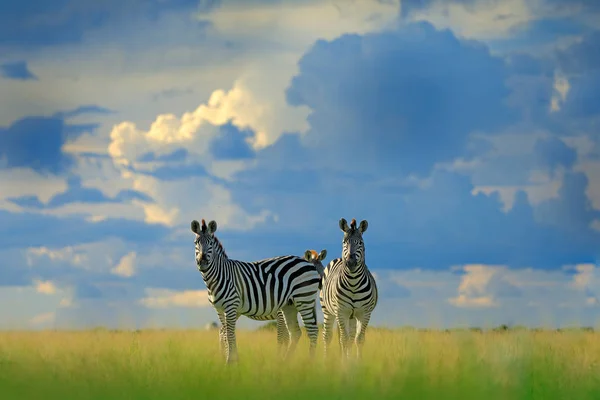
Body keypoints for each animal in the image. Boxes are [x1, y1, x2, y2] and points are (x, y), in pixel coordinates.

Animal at [192, 219, 324, 362]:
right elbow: (228, 333)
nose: (202, 261)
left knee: (312, 331)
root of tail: (307, 263)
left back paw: (309, 363)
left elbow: (279, 336)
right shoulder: (220, 309)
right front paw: (231, 360)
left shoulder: (232, 307)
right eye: (196, 243)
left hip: (303, 299)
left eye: (210, 243)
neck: (220, 275)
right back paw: (285, 362)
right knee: (296, 333)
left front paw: (231, 361)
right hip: (290, 305)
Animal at [322, 217, 378, 360]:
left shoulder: (364, 313)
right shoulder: (341, 312)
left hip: (352, 316)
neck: (353, 283)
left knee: (352, 337)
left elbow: (359, 339)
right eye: (344, 242)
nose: (350, 262)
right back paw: (325, 361)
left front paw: (356, 362)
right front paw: (344, 363)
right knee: (327, 336)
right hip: (328, 310)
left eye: (360, 243)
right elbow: (344, 340)